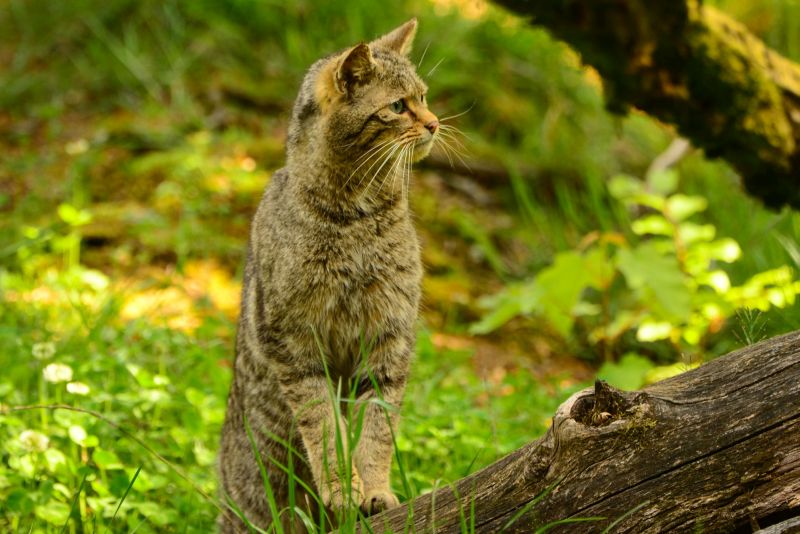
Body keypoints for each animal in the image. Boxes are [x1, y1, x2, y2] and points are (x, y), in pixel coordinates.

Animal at [217, 18, 438, 532]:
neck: (355, 218)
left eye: (424, 96)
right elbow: (325, 431)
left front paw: (373, 490)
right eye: (398, 106)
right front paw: (342, 489)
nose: (435, 123)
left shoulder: (388, 341)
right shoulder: (296, 345)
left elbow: (376, 431)